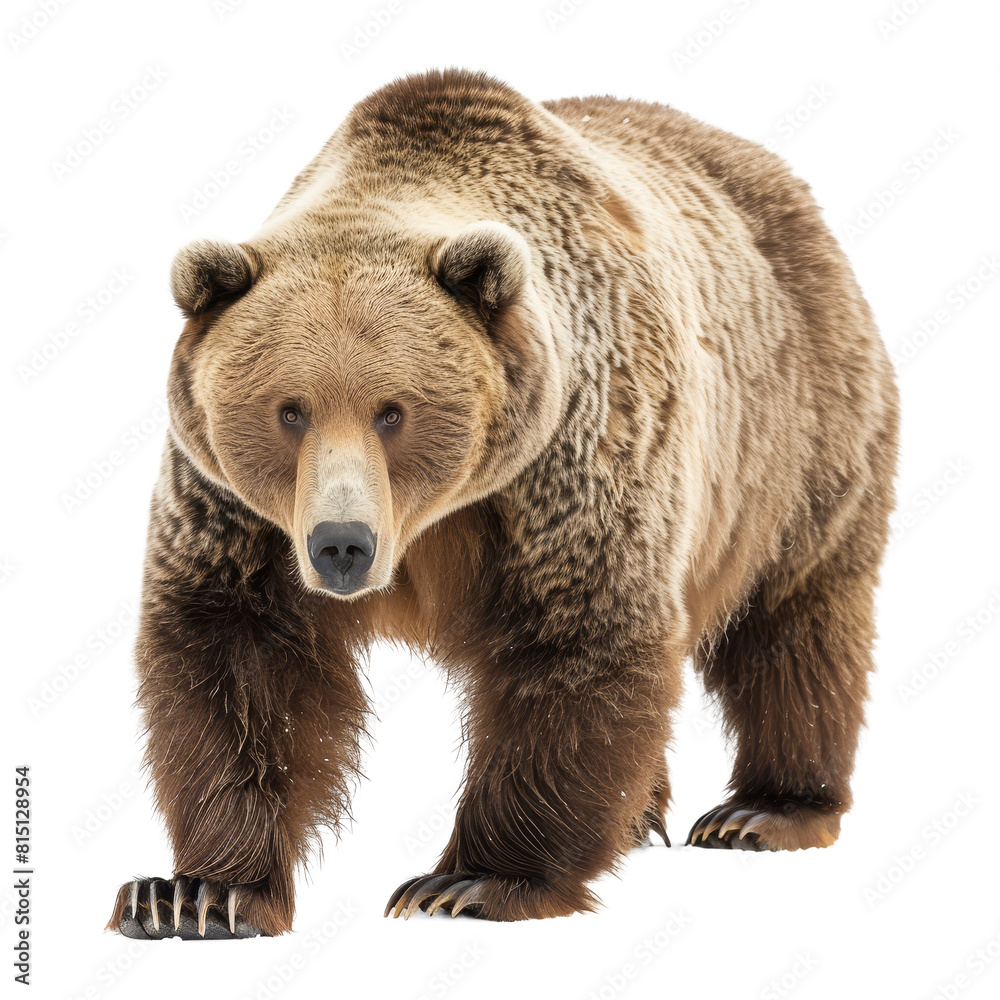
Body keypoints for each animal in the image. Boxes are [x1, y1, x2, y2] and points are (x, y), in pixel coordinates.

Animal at [109, 68, 898, 937]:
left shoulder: (571, 460)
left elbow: (575, 638)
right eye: (289, 410)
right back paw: (644, 814)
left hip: (797, 434)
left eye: (393, 410)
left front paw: (467, 883)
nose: (342, 545)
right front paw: (195, 893)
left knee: (794, 622)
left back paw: (763, 810)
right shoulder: (237, 513)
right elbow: (239, 658)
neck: (433, 521)